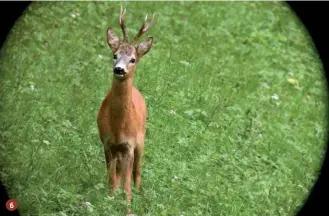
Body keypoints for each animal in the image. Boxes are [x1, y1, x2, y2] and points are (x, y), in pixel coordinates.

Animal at [96, 6, 154, 214]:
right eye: (115, 55)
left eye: (133, 59)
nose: (119, 69)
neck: (118, 128)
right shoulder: (107, 143)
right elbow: (112, 177)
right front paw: (109, 200)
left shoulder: (129, 145)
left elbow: (127, 182)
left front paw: (128, 208)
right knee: (119, 173)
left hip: (141, 139)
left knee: (137, 171)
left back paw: (139, 193)